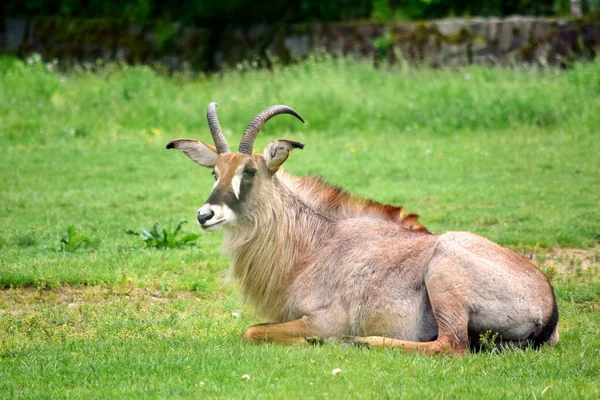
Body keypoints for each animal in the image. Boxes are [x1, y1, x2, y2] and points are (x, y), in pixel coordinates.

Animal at [166, 104, 560, 356]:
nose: (205, 214)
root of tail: (548, 304)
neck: (314, 243)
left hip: (443, 272)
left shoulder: (322, 320)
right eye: (215, 172)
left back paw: (360, 343)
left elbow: (251, 331)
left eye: (249, 171)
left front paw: (316, 342)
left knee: (453, 346)